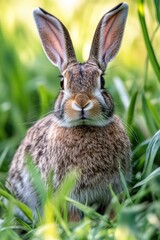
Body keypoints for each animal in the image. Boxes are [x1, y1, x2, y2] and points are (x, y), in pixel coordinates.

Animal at [5, 2, 131, 222]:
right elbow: (72, 214)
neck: (84, 128)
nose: (81, 102)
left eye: (102, 81)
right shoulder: (67, 195)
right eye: (62, 83)